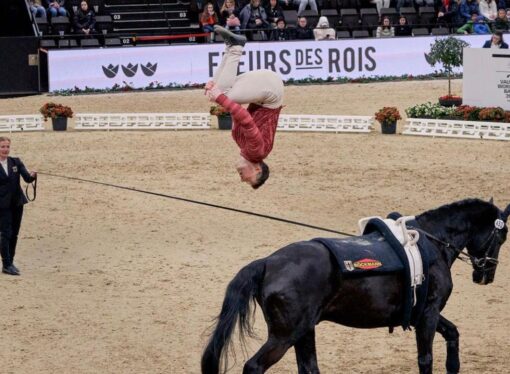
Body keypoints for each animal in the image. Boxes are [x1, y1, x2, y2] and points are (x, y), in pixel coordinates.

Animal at [201, 199, 510, 372]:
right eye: (502, 235)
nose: (486, 274)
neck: (431, 244)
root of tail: (267, 262)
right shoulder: (429, 313)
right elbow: (425, 358)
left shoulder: (424, 312)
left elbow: (453, 334)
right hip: (284, 335)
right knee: (254, 367)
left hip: (304, 330)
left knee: (309, 367)